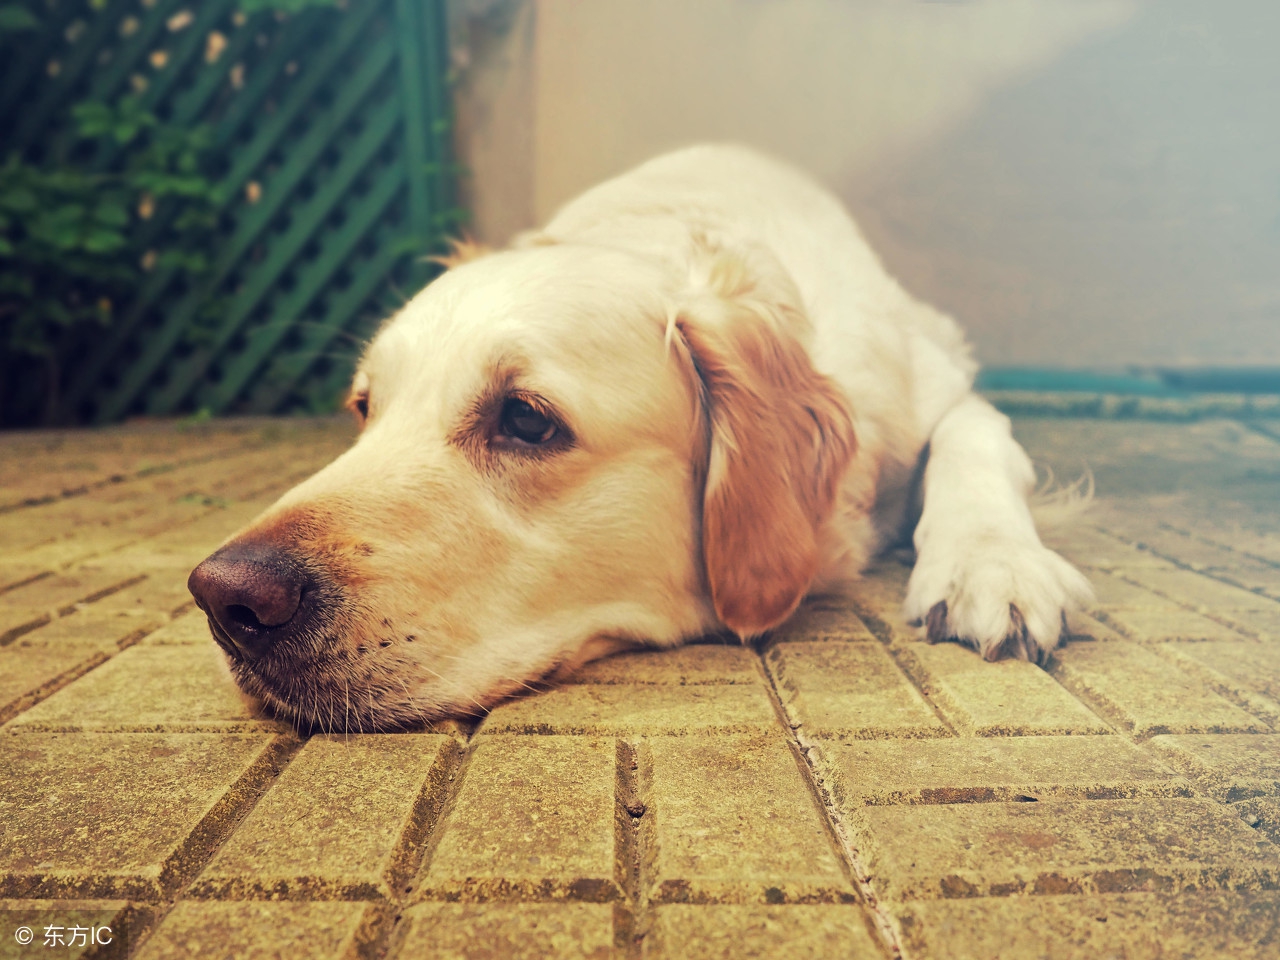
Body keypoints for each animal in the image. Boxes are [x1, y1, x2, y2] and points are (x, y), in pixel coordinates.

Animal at [186, 144, 1090, 727]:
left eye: (526, 419)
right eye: (365, 409)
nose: (225, 597)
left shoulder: (939, 382)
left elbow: (975, 440)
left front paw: (992, 563)